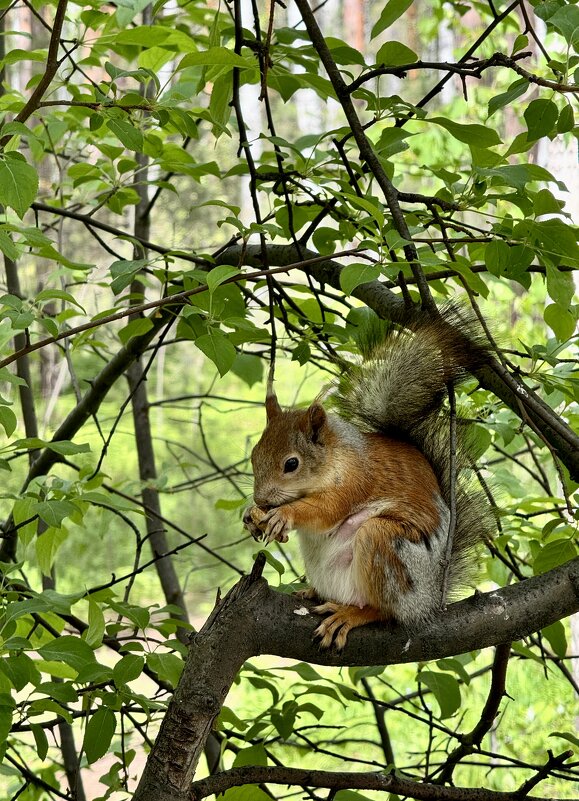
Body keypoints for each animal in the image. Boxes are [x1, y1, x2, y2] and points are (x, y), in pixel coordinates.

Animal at [245, 304, 494, 648]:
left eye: (291, 464)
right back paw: (312, 591)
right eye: (254, 455)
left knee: (384, 610)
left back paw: (351, 615)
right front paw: (251, 515)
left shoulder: (355, 481)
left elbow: (325, 511)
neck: (335, 459)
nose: (261, 498)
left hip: (387, 548)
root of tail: (430, 600)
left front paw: (284, 515)